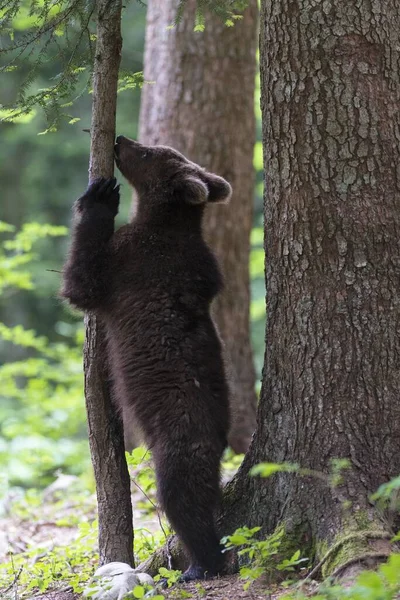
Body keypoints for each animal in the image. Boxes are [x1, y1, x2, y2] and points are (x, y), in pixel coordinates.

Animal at [61, 135, 233, 580]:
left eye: (149, 152)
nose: (122, 140)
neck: (162, 221)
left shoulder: (130, 263)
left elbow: (82, 283)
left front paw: (100, 198)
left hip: (177, 439)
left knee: (182, 499)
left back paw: (201, 564)